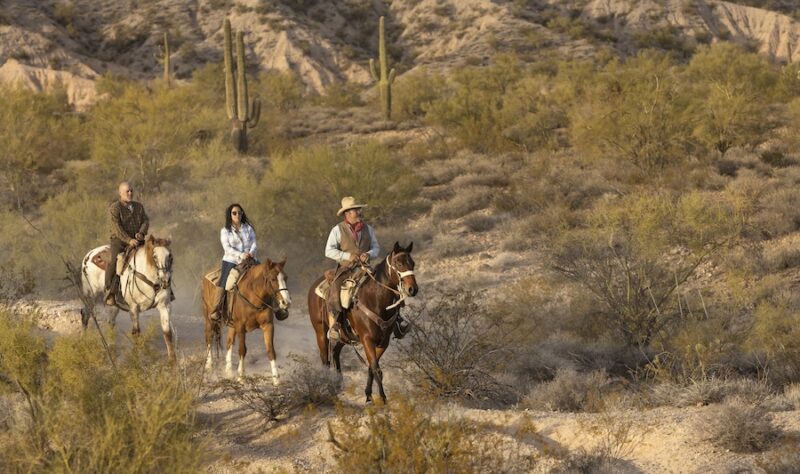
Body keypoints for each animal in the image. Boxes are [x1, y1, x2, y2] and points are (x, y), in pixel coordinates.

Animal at [308, 244, 418, 404]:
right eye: (398, 263)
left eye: (412, 263)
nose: (413, 289)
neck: (375, 300)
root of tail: (313, 288)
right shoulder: (367, 339)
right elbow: (376, 368)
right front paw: (383, 399)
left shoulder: (383, 342)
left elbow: (372, 367)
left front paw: (368, 394)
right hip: (321, 333)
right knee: (325, 360)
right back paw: (330, 390)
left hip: (345, 336)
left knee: (335, 352)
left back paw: (338, 382)